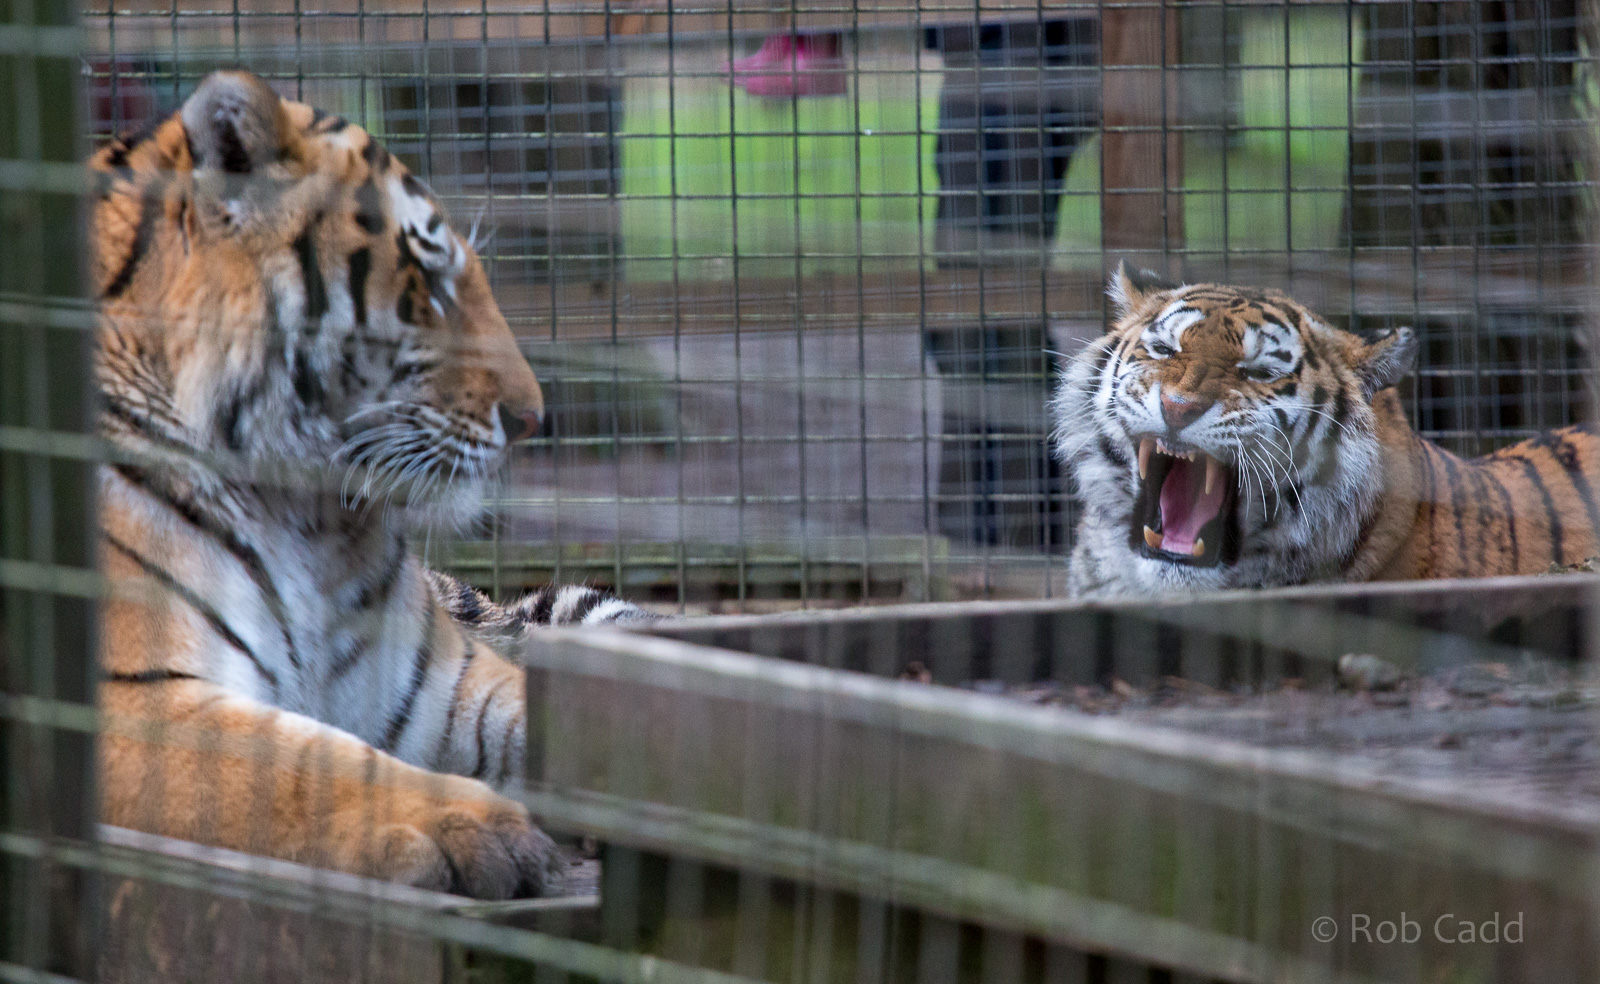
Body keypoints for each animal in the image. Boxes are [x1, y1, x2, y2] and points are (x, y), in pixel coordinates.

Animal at [94, 70, 652, 899]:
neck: (308, 520)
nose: (532, 418)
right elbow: (306, 761)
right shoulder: (127, 694)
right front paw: (470, 825)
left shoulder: (441, 688)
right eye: (428, 281)